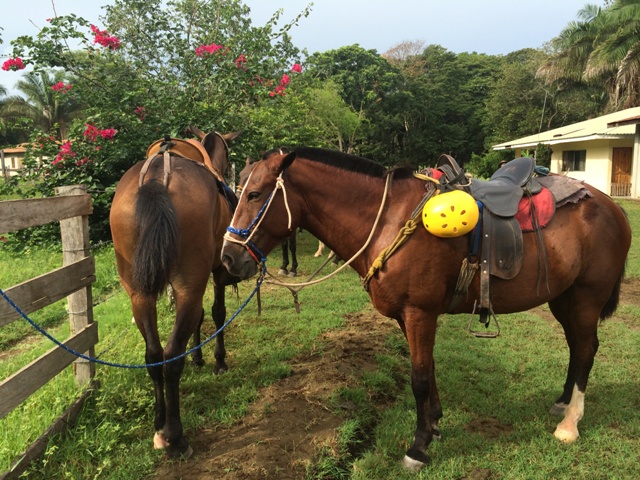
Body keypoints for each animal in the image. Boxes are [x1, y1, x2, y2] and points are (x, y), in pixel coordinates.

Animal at [110, 124, 240, 458]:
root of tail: (157, 179)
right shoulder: (215, 272)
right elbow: (216, 313)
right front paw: (218, 361)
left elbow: (200, 317)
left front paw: (200, 357)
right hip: (188, 284)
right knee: (171, 356)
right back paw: (174, 435)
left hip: (139, 292)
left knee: (154, 354)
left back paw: (159, 424)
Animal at [222, 148, 632, 470]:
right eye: (238, 190)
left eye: (254, 194)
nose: (228, 258)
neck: (387, 220)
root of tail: (613, 208)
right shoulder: (410, 317)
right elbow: (429, 370)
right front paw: (434, 427)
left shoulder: (419, 312)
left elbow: (418, 379)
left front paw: (418, 447)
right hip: (563, 297)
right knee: (576, 348)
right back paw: (563, 404)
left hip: (586, 297)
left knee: (585, 350)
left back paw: (570, 423)